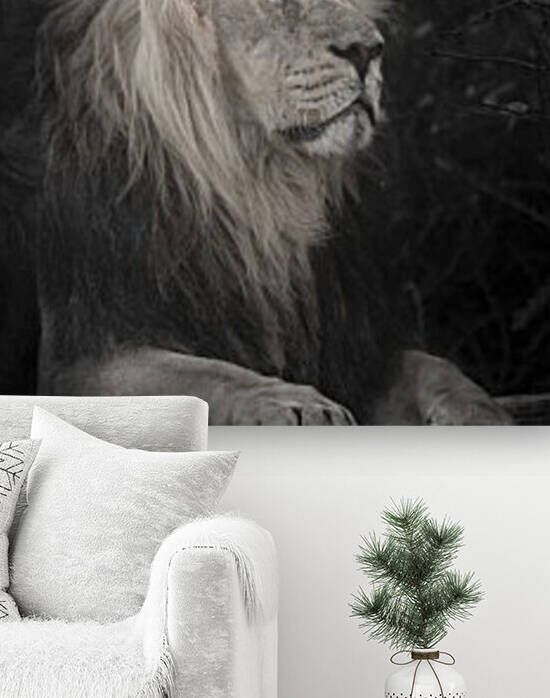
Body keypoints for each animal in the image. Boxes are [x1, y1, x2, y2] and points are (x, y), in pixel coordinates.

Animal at [0, 0, 511, 424]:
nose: (368, 50)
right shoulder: (79, 356)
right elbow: (204, 377)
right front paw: (295, 404)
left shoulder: (355, 349)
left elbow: (436, 369)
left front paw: (482, 412)